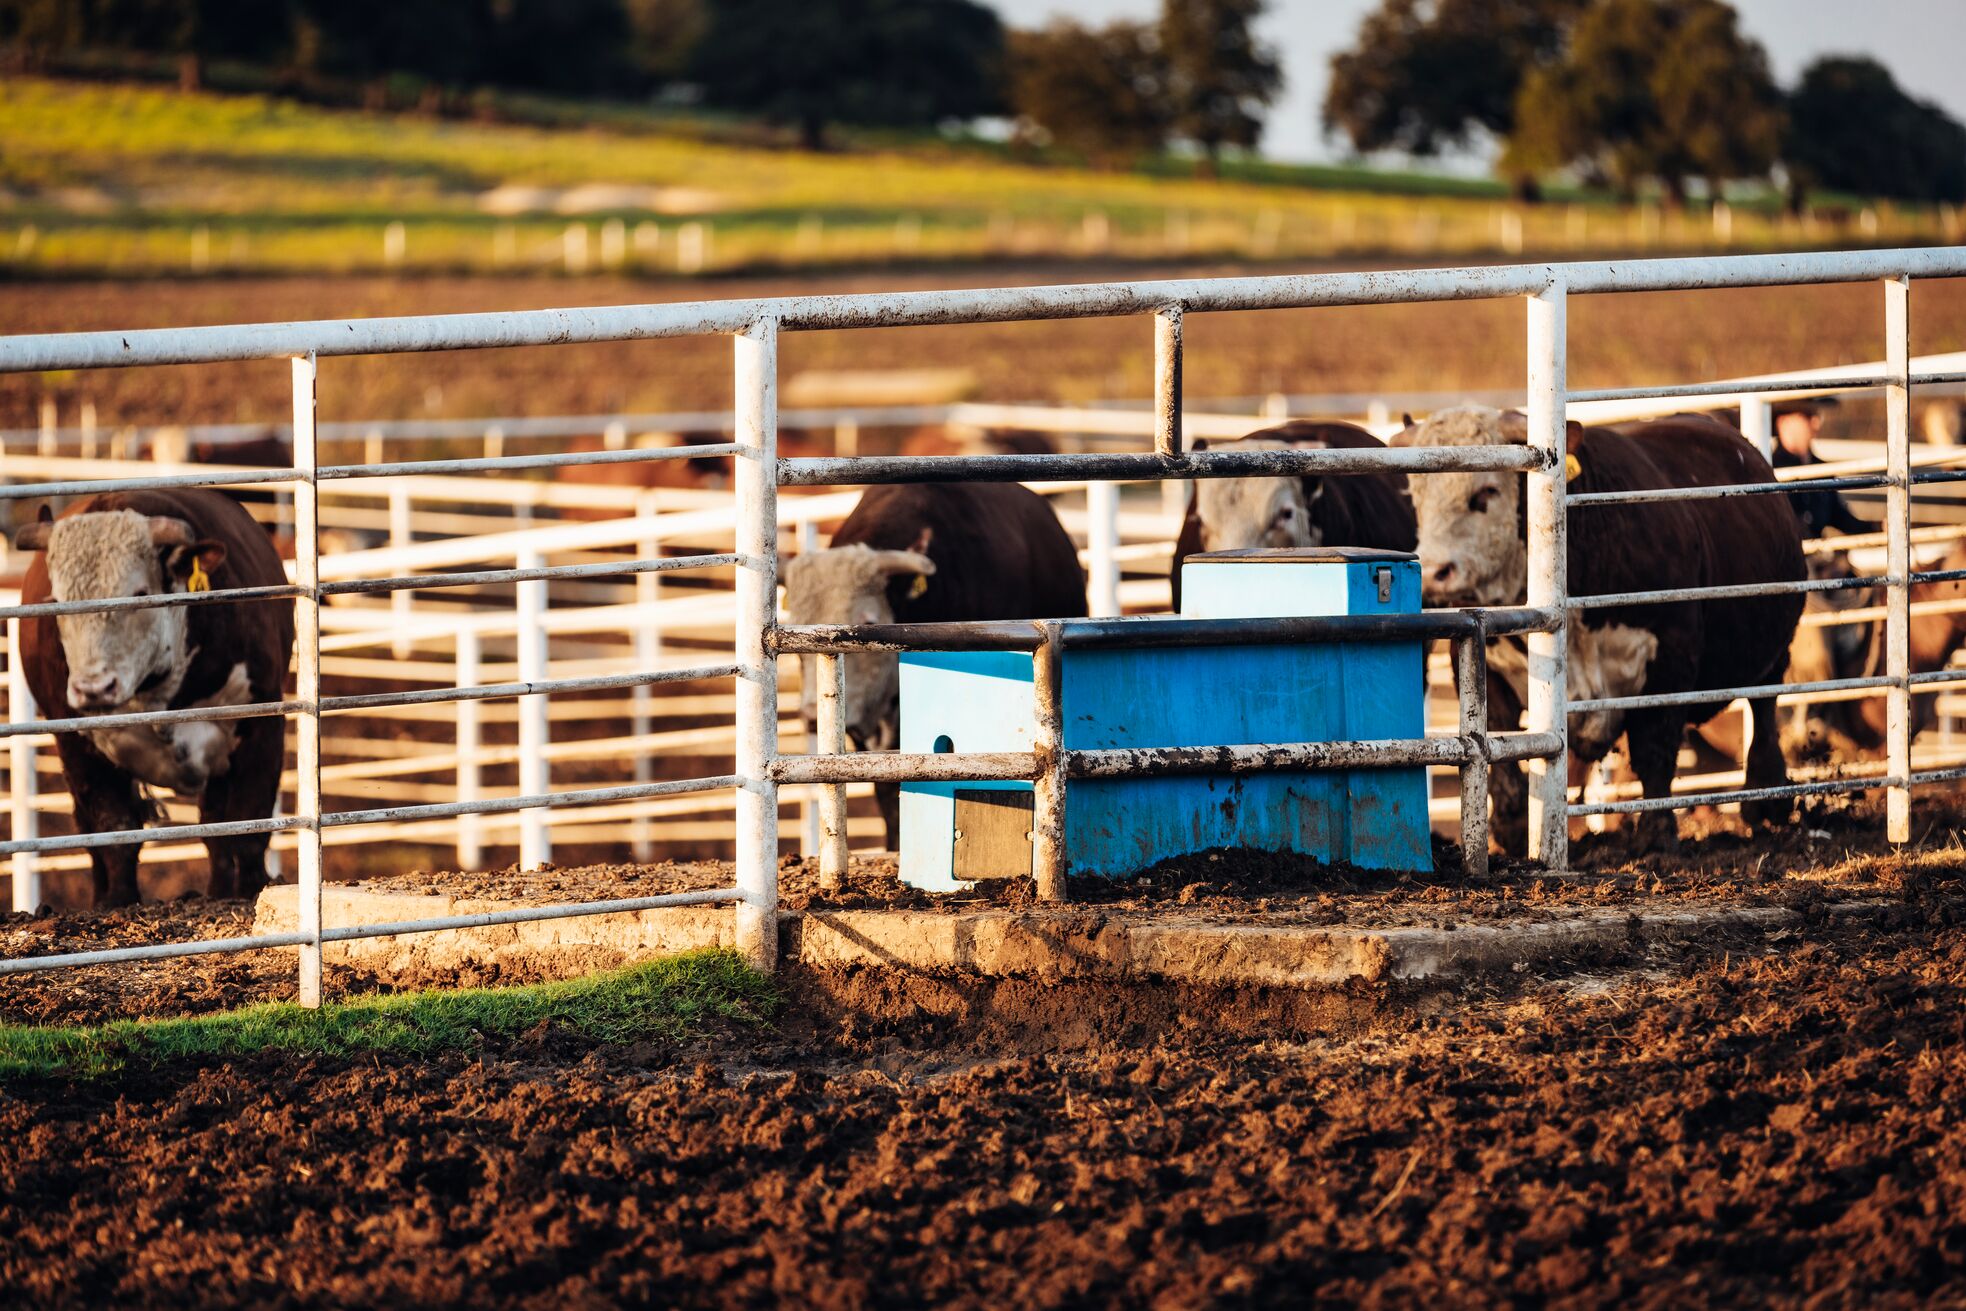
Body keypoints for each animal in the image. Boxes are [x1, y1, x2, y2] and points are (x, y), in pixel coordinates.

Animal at [13, 490, 295, 906]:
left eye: (140, 593)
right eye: (59, 601)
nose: (94, 688)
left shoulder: (262, 722)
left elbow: (249, 820)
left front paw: (251, 889)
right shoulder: (77, 745)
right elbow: (114, 827)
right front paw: (118, 901)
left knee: (217, 827)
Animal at [1392, 406, 1806, 855]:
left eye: (1487, 491)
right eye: (1416, 496)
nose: (1435, 571)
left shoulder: (1671, 653)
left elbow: (1654, 746)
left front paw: (1656, 833)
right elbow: (1496, 740)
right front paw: (1512, 829)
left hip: (1776, 647)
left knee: (1764, 704)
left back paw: (1767, 796)